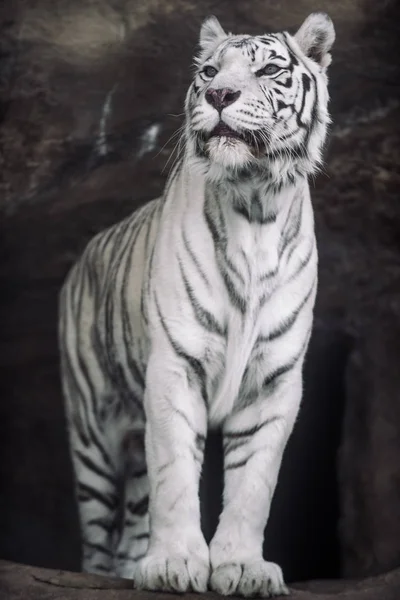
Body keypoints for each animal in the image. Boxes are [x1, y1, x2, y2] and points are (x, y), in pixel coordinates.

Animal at [58, 12, 334, 596]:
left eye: (268, 70)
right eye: (208, 70)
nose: (219, 94)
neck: (255, 206)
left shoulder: (274, 381)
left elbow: (253, 486)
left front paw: (243, 567)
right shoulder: (174, 366)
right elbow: (176, 478)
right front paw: (176, 563)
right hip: (91, 434)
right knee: (98, 535)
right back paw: (103, 574)